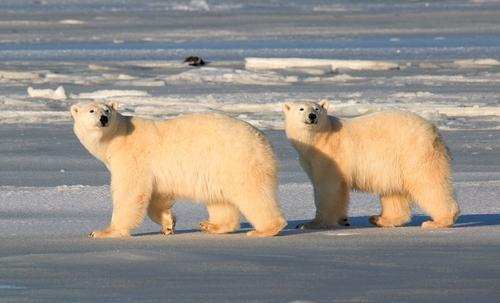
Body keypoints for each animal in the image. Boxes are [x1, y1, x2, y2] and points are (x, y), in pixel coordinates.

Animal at [72, 101, 288, 239]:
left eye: (107, 110)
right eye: (91, 110)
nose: (103, 118)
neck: (117, 138)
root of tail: (264, 140)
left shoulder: (132, 157)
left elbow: (130, 192)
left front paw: (103, 232)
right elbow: (157, 196)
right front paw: (168, 224)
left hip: (238, 160)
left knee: (253, 193)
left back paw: (264, 229)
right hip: (218, 168)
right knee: (219, 200)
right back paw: (211, 225)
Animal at [284, 101, 458, 229]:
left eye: (317, 108)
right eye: (301, 108)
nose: (312, 116)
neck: (320, 138)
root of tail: (433, 130)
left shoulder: (331, 156)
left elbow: (328, 188)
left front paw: (310, 224)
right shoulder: (309, 160)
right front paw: (342, 220)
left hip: (414, 153)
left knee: (429, 183)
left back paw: (438, 221)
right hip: (395, 163)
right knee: (393, 192)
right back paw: (380, 219)